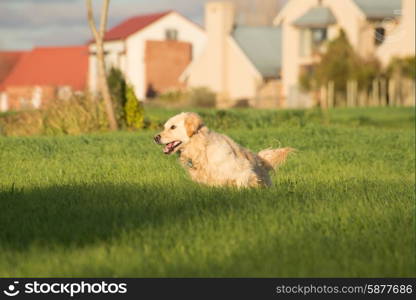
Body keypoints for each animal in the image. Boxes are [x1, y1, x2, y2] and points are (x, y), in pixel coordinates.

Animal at [154, 112, 294, 188]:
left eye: (173, 127)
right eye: (164, 127)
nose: (155, 137)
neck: (202, 148)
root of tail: (260, 158)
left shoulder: (244, 172)